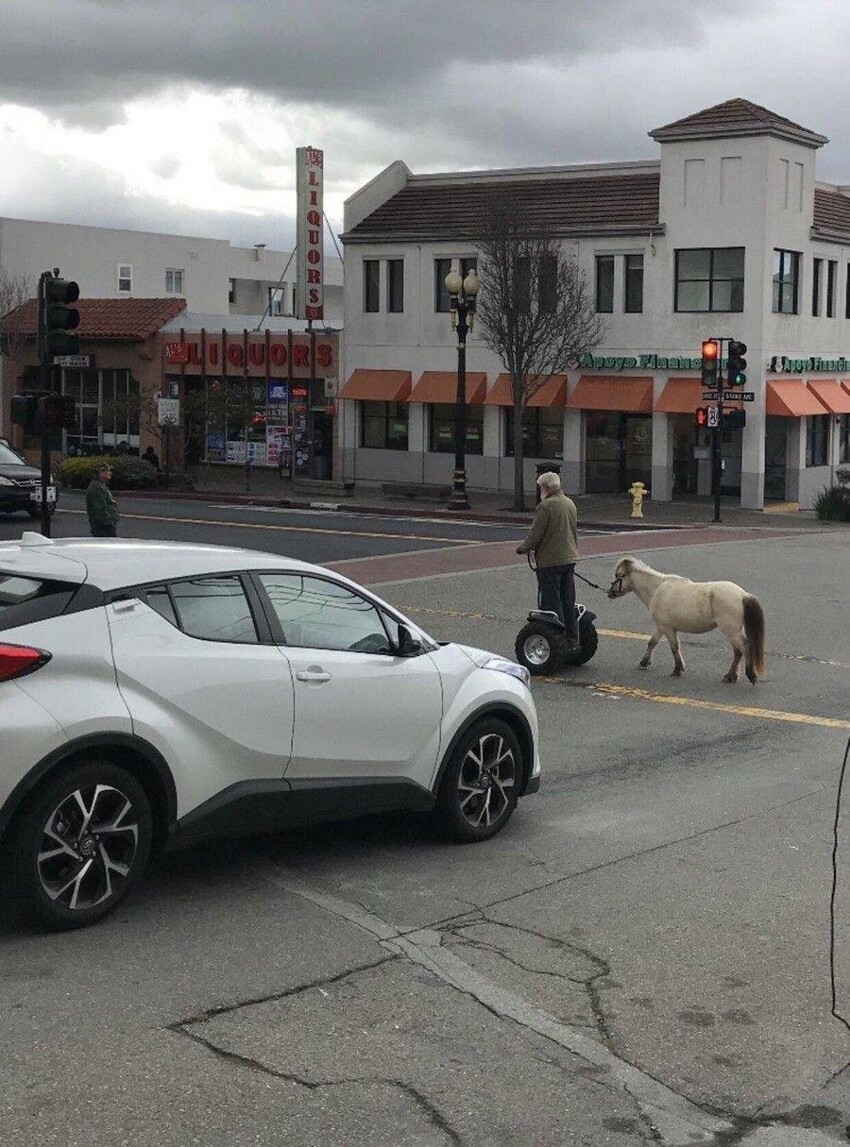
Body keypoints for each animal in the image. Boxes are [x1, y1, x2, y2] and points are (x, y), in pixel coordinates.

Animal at [605, 555, 766, 679]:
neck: (657, 589)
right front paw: (644, 663)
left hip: (731, 631)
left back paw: (750, 675)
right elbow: (652, 642)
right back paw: (730, 676)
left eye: (618, 575)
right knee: (738, 651)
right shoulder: (661, 627)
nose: (610, 592)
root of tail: (743, 595)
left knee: (744, 647)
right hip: (733, 631)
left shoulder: (668, 629)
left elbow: (674, 647)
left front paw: (677, 670)